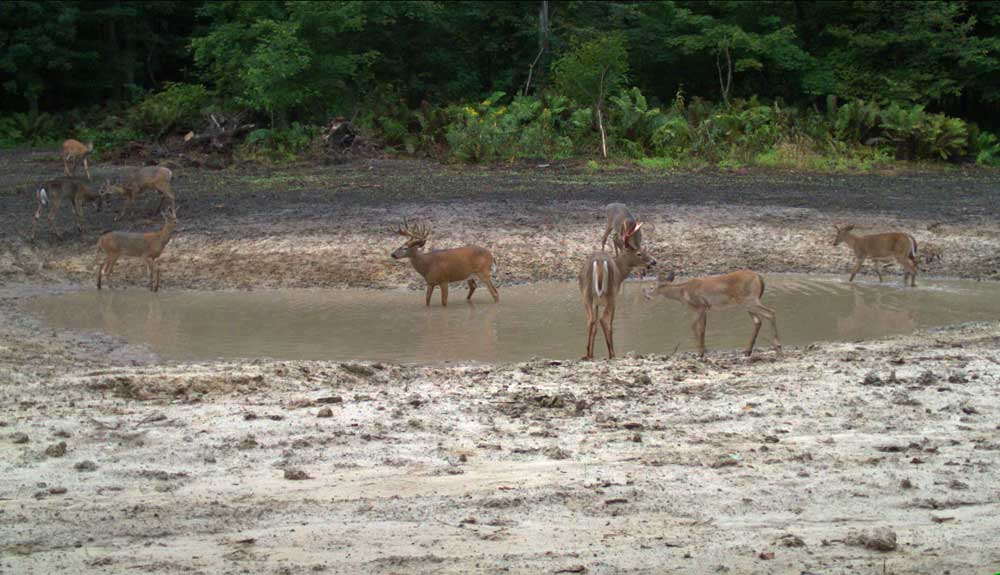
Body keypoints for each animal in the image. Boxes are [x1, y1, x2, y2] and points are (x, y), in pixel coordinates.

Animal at [580, 225, 656, 360]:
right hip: (611, 293)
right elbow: (609, 325)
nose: (654, 261)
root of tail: (599, 261)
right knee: (603, 320)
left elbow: (594, 327)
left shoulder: (596, 303)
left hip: (587, 294)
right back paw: (612, 353)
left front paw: (592, 354)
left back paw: (588, 354)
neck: (620, 273)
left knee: (591, 321)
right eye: (639, 253)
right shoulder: (615, 297)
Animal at [640, 268, 780, 358]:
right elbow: (703, 329)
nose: (644, 295)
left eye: (651, 287)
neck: (683, 294)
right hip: (747, 302)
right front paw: (704, 351)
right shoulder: (706, 308)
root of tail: (760, 278)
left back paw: (777, 346)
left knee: (771, 312)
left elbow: (693, 326)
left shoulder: (699, 305)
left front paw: (699, 352)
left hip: (750, 299)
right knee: (758, 321)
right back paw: (748, 351)